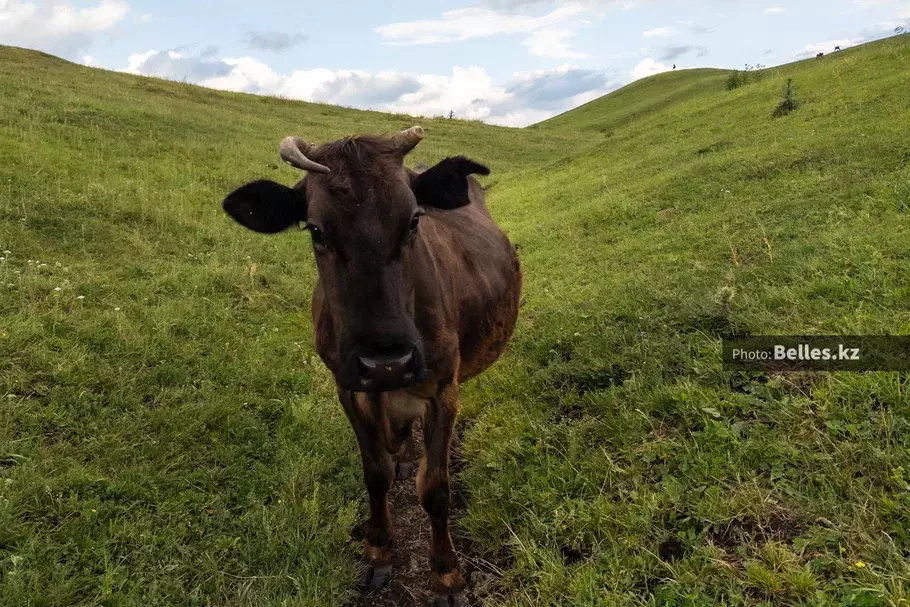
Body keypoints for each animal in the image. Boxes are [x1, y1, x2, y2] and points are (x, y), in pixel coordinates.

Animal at [219, 127, 520, 604]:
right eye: (316, 230)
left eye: (414, 220)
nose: (386, 362)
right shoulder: (348, 387)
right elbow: (375, 472)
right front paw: (377, 551)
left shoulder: (444, 389)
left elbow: (436, 488)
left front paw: (447, 574)